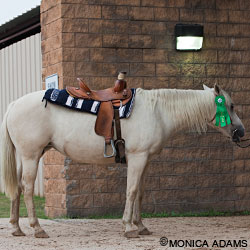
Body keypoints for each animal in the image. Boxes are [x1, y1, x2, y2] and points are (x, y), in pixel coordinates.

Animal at [0, 84, 244, 238]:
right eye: (230, 106)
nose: (241, 132)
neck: (159, 112)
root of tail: (13, 105)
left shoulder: (145, 160)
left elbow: (140, 192)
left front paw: (141, 226)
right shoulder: (138, 157)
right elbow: (132, 190)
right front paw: (128, 228)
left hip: (25, 156)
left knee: (18, 188)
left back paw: (16, 228)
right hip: (31, 155)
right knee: (27, 188)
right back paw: (37, 229)